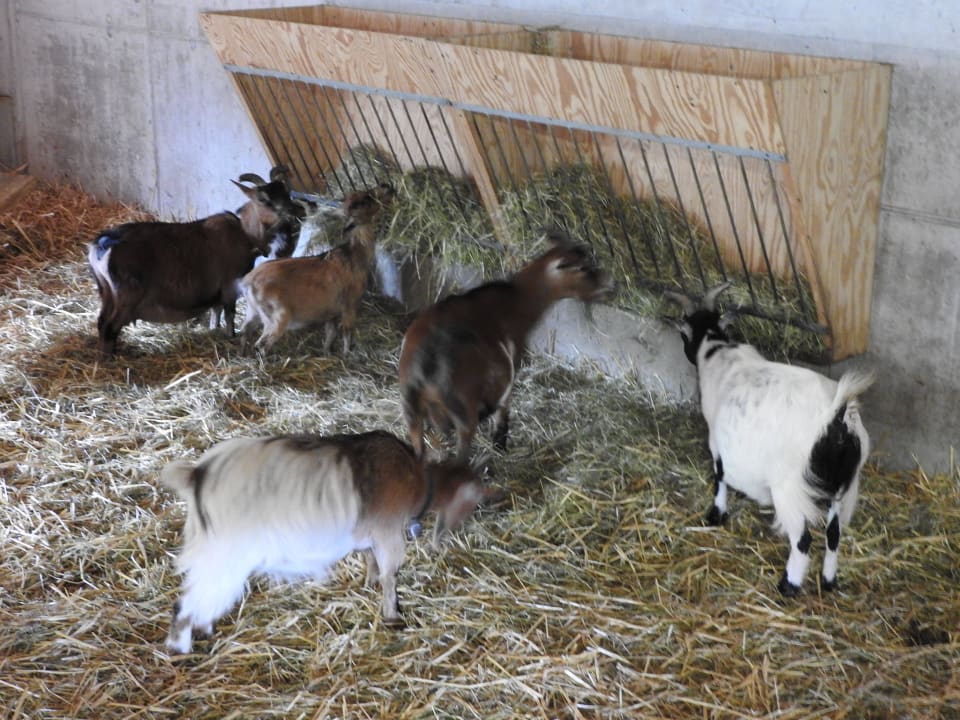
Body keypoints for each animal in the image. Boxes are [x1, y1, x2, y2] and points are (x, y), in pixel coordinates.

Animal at [87, 176, 299, 356]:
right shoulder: (229, 286)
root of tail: (103, 244)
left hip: (107, 292)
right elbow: (229, 314)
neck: (244, 234)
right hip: (126, 296)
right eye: (263, 199)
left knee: (102, 322)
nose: (293, 212)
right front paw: (231, 336)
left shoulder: (217, 292)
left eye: (286, 193)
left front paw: (214, 329)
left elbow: (216, 311)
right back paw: (110, 359)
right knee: (110, 326)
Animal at [160, 429, 486, 654]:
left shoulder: (367, 535)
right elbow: (391, 575)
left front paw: (369, 582)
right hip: (226, 554)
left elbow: (369, 559)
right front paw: (392, 616)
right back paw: (182, 647)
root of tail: (197, 474)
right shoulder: (389, 533)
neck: (418, 479)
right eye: (471, 503)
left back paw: (205, 628)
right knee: (186, 603)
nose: (447, 536)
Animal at [238, 183, 395, 354]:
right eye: (364, 200)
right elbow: (347, 333)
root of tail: (248, 282)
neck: (352, 254)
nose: (386, 186)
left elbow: (330, 335)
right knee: (262, 344)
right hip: (276, 318)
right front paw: (347, 354)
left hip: (253, 313)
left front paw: (328, 353)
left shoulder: (330, 313)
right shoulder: (349, 305)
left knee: (244, 332)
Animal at [398, 231, 613, 462]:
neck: (516, 299)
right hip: (463, 413)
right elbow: (503, 412)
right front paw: (500, 445)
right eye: (583, 268)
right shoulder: (511, 367)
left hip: (412, 414)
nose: (609, 285)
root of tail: (424, 363)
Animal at [666, 282, 873, 596]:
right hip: (845, 486)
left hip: (790, 487)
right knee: (834, 534)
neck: (717, 350)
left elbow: (719, 476)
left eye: (682, 333)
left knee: (802, 540)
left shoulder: (716, 441)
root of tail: (836, 419)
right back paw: (828, 581)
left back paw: (789, 585)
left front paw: (716, 514)